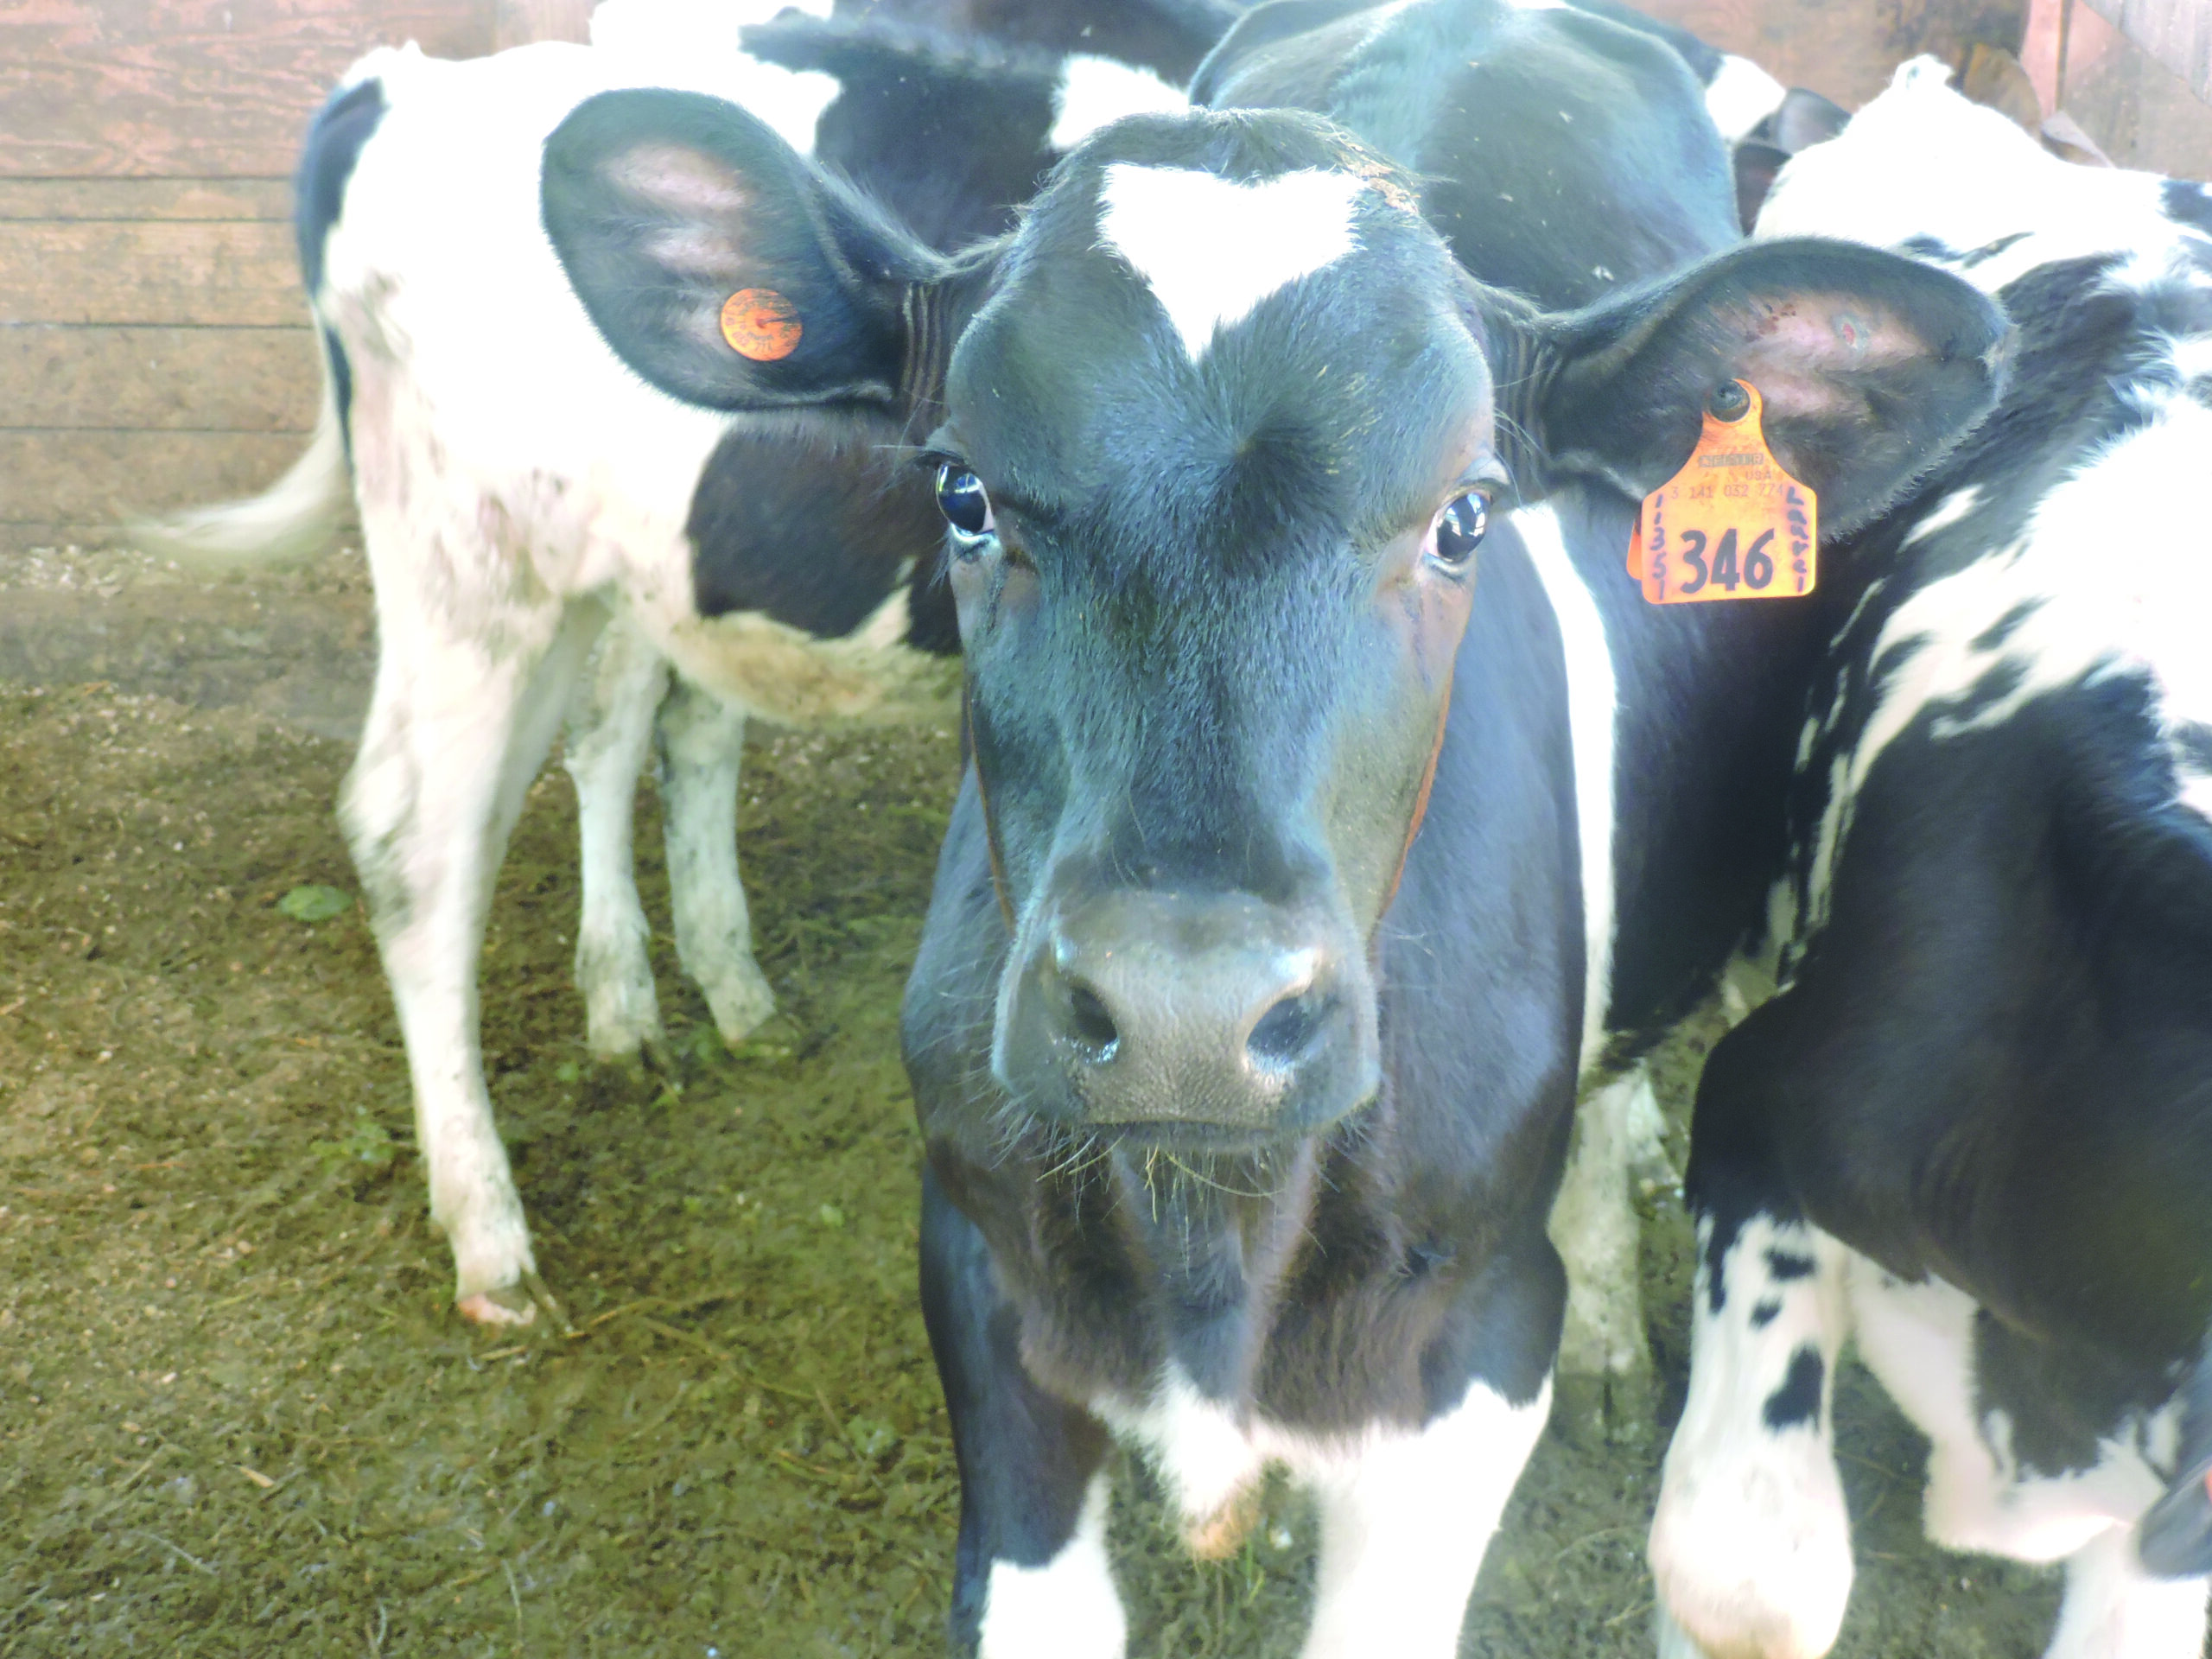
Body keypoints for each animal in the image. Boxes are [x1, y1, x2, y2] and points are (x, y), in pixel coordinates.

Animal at [145, 9, 1195, 1327]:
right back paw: (490, 1233)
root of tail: (404, 82)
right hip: (472, 564)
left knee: (621, 737)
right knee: (419, 842)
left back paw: (682, 999)